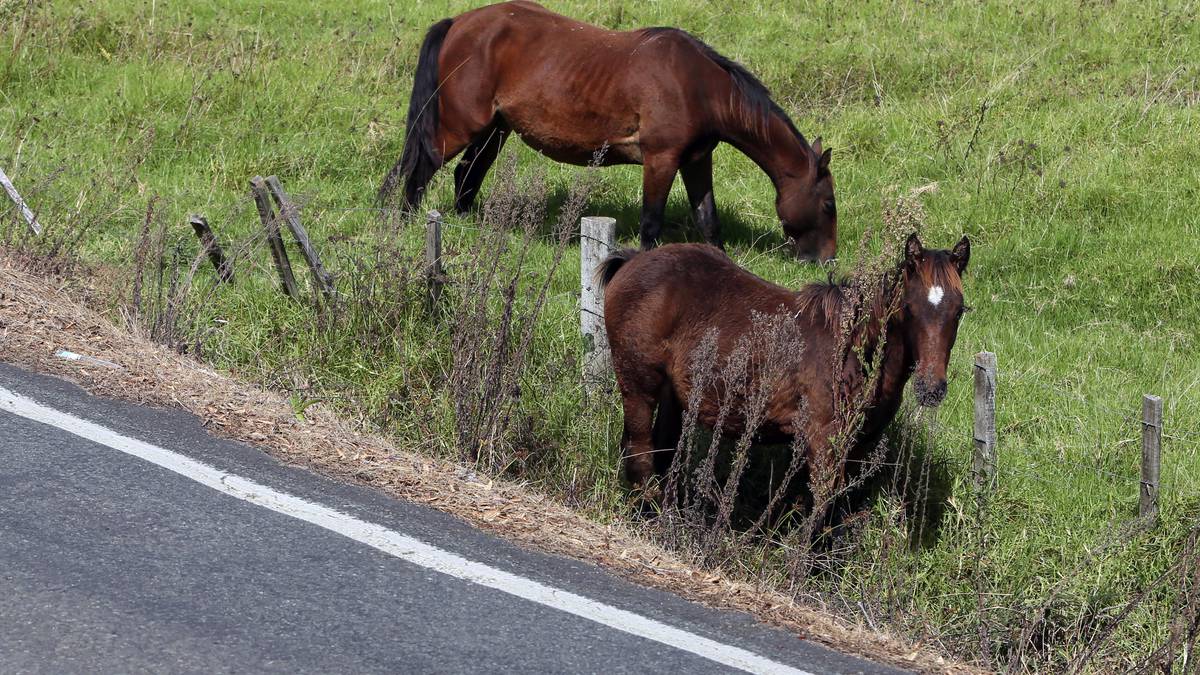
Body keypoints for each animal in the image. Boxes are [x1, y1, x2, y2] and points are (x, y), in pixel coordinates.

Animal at [379, 1, 840, 260]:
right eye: (829, 204)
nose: (828, 260)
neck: (697, 86)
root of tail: (459, 22)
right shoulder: (661, 159)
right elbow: (651, 223)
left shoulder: (696, 160)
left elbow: (707, 220)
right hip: (457, 129)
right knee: (417, 171)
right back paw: (402, 224)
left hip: (494, 130)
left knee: (466, 175)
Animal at [595, 234, 969, 497]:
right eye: (909, 308)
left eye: (959, 311)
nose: (932, 388)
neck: (852, 349)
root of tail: (634, 260)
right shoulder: (824, 442)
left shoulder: (856, 448)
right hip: (638, 385)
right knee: (640, 454)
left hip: (674, 396)